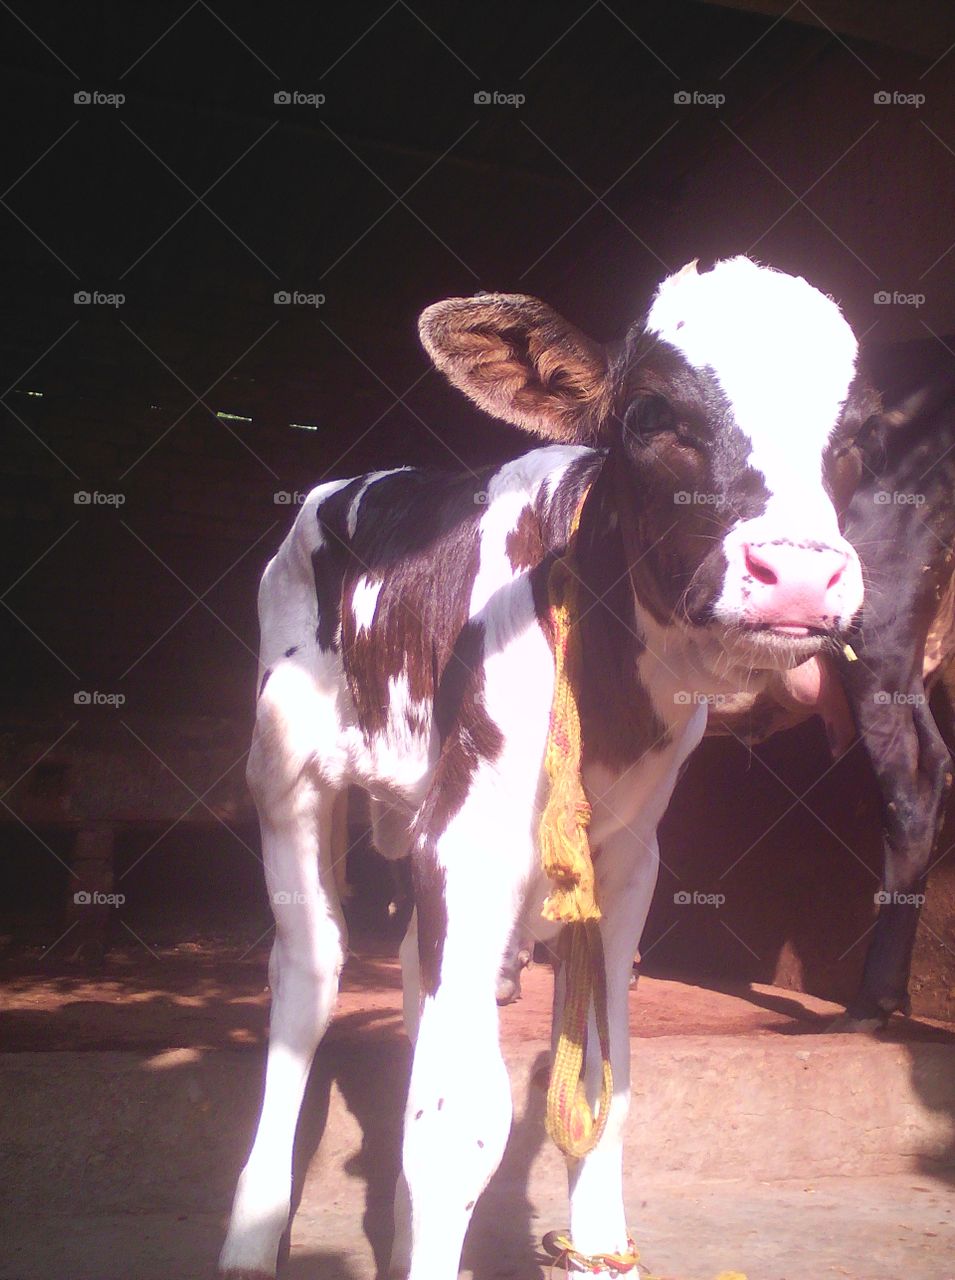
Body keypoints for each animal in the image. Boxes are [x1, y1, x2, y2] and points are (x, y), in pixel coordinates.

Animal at [219, 256, 874, 1279]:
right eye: (648, 413)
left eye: (861, 433)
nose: (800, 578)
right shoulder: (472, 836)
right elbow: (456, 1128)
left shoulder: (626, 856)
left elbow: (601, 1081)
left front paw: (595, 1239)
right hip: (283, 766)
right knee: (309, 975)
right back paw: (252, 1234)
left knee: (414, 973)